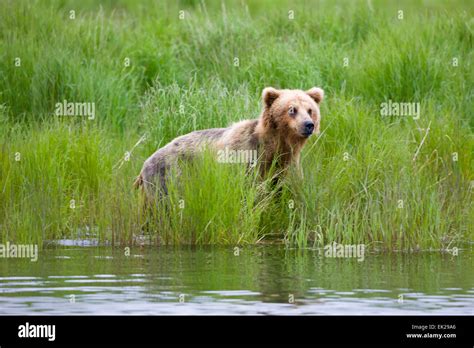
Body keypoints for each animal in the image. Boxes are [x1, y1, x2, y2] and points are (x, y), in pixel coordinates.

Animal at [135, 86, 324, 201]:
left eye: (310, 110)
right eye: (292, 109)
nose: (308, 124)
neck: (276, 145)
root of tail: (145, 163)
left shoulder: (287, 166)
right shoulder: (246, 161)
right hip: (169, 175)